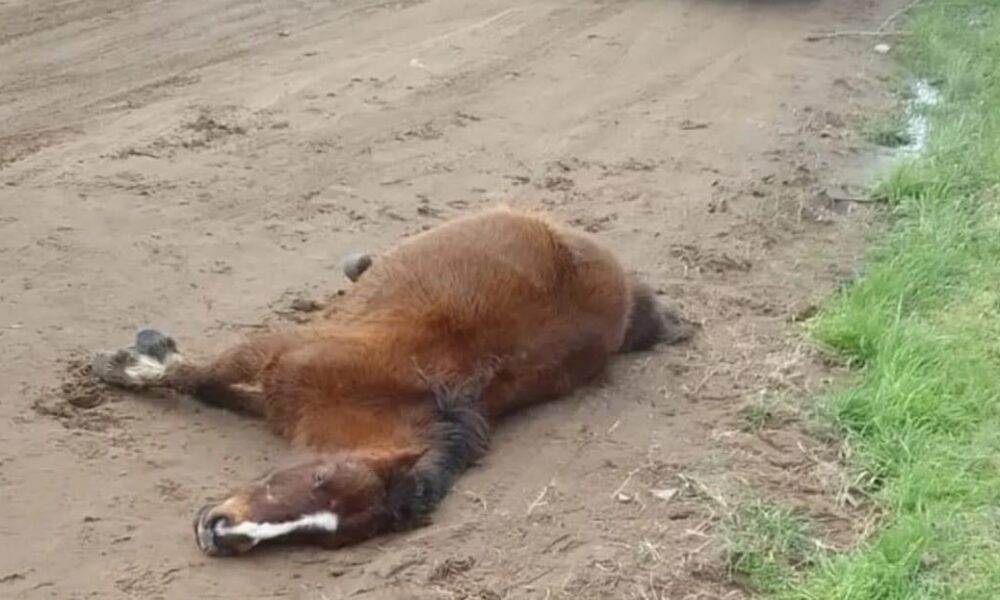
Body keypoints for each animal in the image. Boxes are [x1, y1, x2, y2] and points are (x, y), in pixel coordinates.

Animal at [91, 206, 694, 556]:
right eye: (318, 474)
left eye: (325, 537)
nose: (218, 532)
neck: (380, 395)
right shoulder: (275, 351)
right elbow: (197, 377)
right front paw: (129, 362)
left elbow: (208, 385)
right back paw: (360, 264)